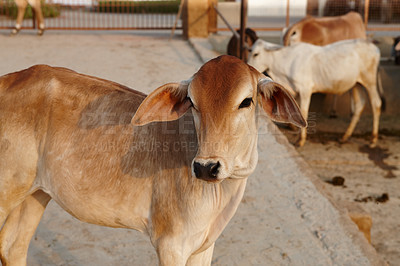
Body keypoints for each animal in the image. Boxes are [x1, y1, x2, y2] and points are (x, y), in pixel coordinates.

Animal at [0, 55, 306, 264]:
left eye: (246, 101)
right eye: (192, 102)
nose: (206, 167)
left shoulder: (204, 246)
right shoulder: (170, 244)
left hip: (35, 193)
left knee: (13, 247)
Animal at [248, 39, 382, 148]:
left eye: (256, 54)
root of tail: (372, 45)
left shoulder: (305, 90)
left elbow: (303, 112)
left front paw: (300, 141)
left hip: (370, 81)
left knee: (376, 103)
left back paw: (373, 140)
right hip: (356, 84)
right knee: (359, 105)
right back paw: (345, 137)